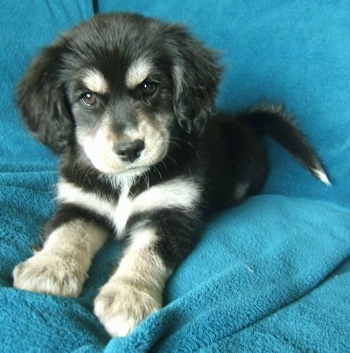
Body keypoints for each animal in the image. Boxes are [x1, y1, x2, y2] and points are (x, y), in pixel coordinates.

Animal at [12, 13, 330, 336]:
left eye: (149, 87)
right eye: (88, 97)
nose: (129, 149)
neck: (126, 182)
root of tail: (243, 123)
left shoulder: (172, 215)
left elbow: (147, 253)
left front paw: (129, 298)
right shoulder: (80, 203)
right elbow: (66, 234)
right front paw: (49, 268)